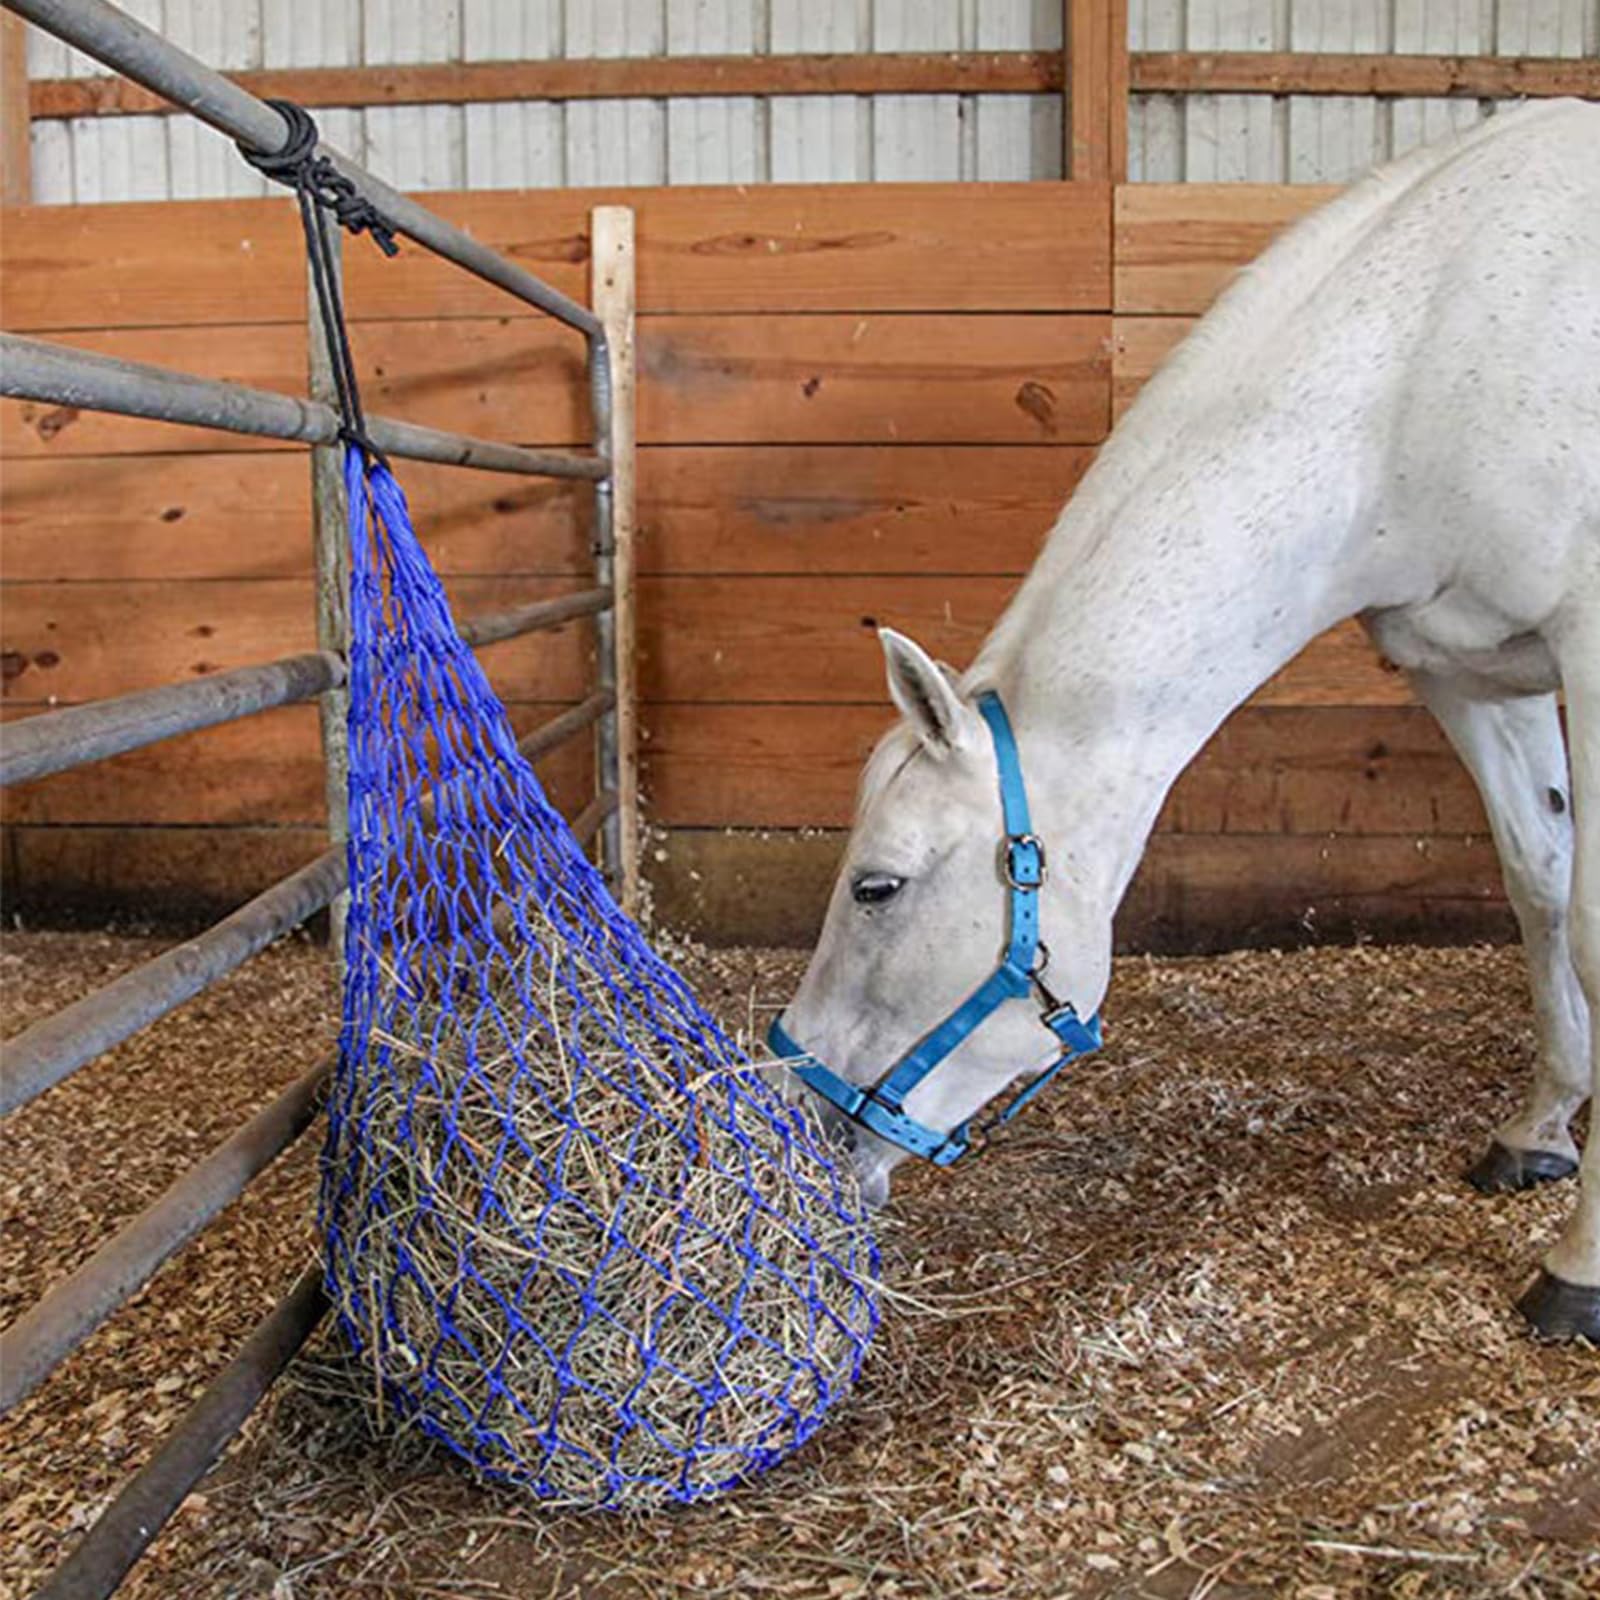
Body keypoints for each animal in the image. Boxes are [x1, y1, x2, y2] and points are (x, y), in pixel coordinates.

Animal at [769, 99, 1600, 1342]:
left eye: (876, 886)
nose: (802, 1118)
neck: (1423, 367)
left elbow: (1589, 921)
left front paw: (1579, 1263)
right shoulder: (1470, 672)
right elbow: (1539, 881)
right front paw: (1541, 1127)